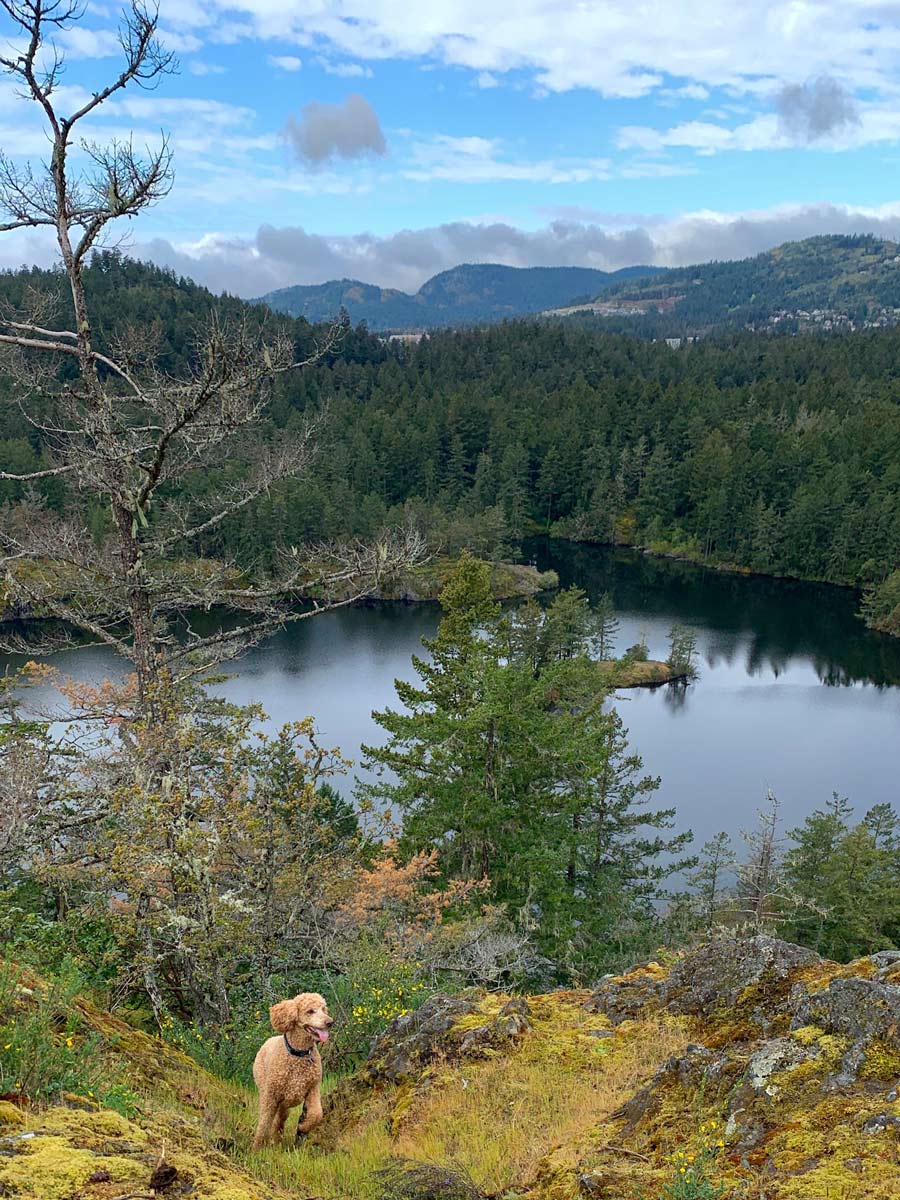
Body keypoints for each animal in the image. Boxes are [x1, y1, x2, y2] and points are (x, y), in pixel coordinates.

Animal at [252, 988, 333, 1147]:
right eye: (310, 1011)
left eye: (323, 1009)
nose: (329, 1022)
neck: (300, 1054)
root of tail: (268, 1041)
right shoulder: (270, 1096)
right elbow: (264, 1122)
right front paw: (257, 1148)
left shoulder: (313, 1089)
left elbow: (317, 1114)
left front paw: (303, 1127)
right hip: (266, 1090)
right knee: (269, 1120)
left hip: (284, 1104)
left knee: (279, 1120)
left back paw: (277, 1139)